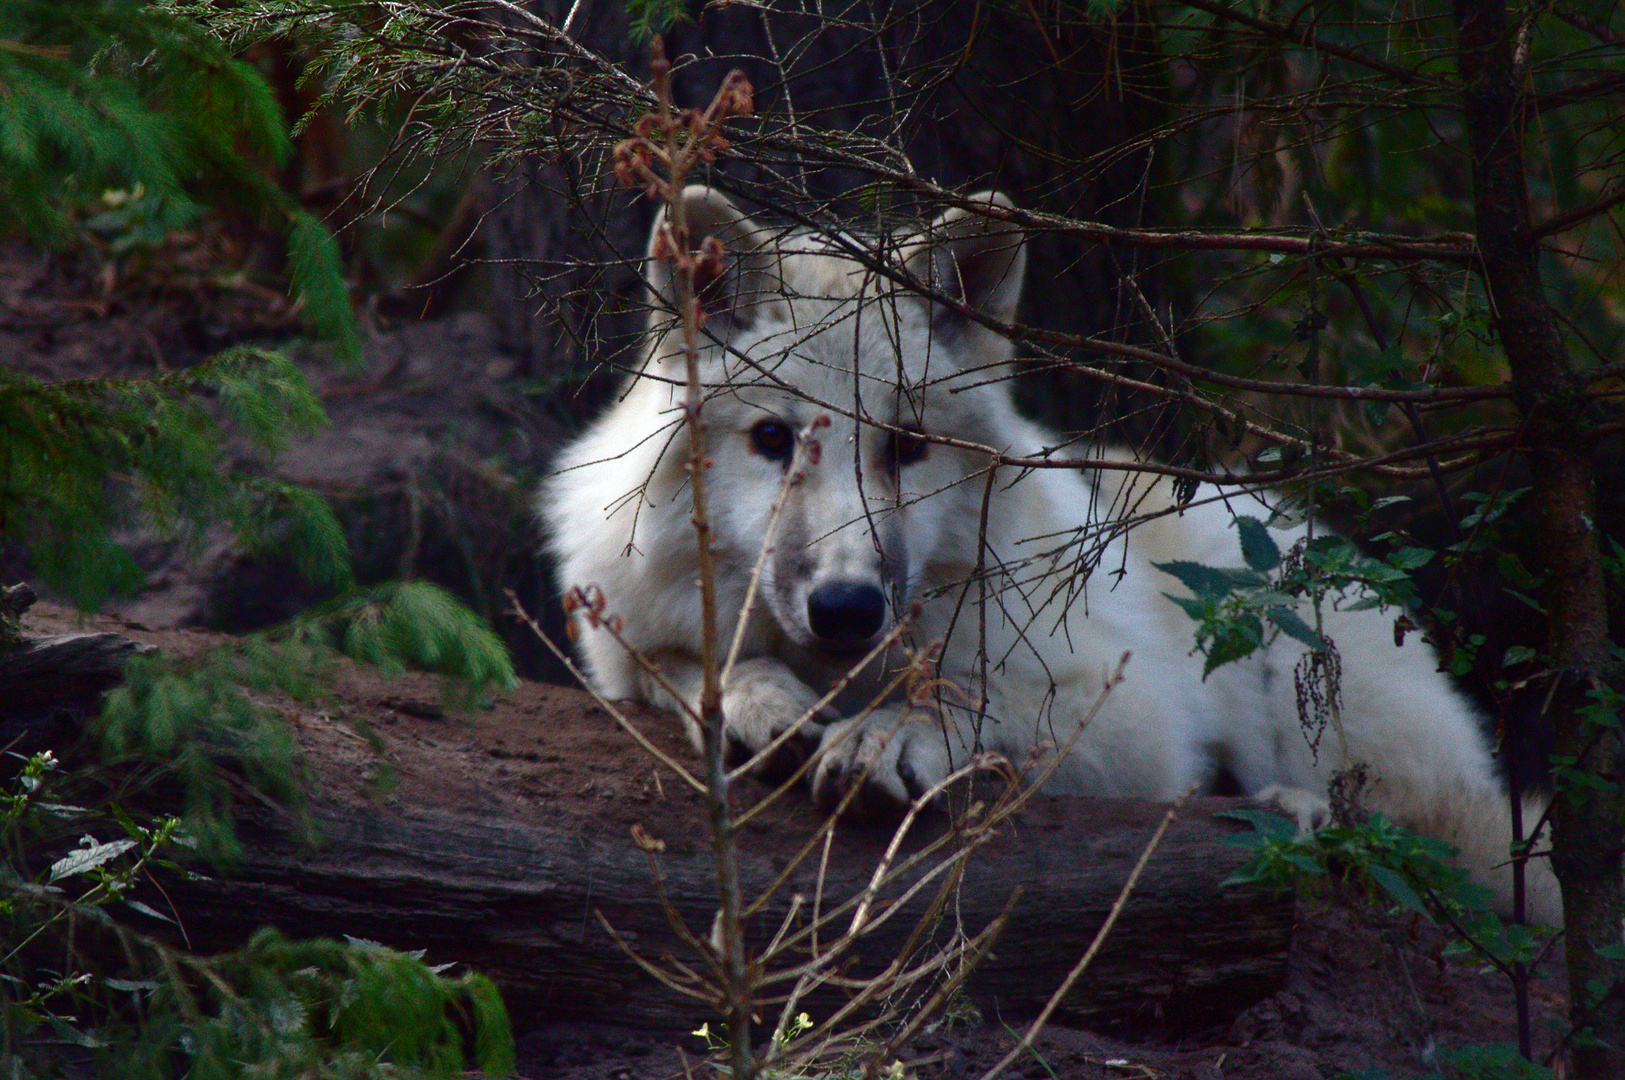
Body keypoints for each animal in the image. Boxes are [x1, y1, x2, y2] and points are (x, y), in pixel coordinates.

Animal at [546, 185, 1560, 915]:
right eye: (772, 439)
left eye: (906, 446)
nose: (846, 609)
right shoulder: (620, 639)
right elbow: (694, 667)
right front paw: (764, 701)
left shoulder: (1136, 718)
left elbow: (974, 694)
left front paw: (886, 734)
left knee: (1411, 835)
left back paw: (1295, 810)